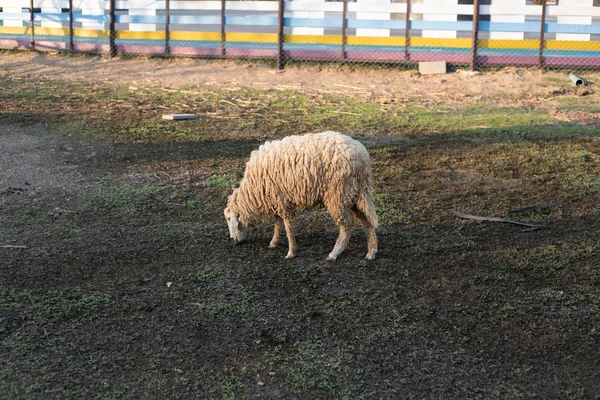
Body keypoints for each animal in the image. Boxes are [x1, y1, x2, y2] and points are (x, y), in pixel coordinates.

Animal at [223, 131, 378, 260]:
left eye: (229, 219)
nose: (234, 240)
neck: (253, 190)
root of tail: (362, 156)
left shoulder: (281, 200)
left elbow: (287, 226)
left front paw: (291, 252)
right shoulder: (278, 199)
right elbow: (278, 222)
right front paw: (274, 242)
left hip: (338, 194)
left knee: (347, 225)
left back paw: (334, 253)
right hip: (354, 194)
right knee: (366, 220)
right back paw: (371, 252)